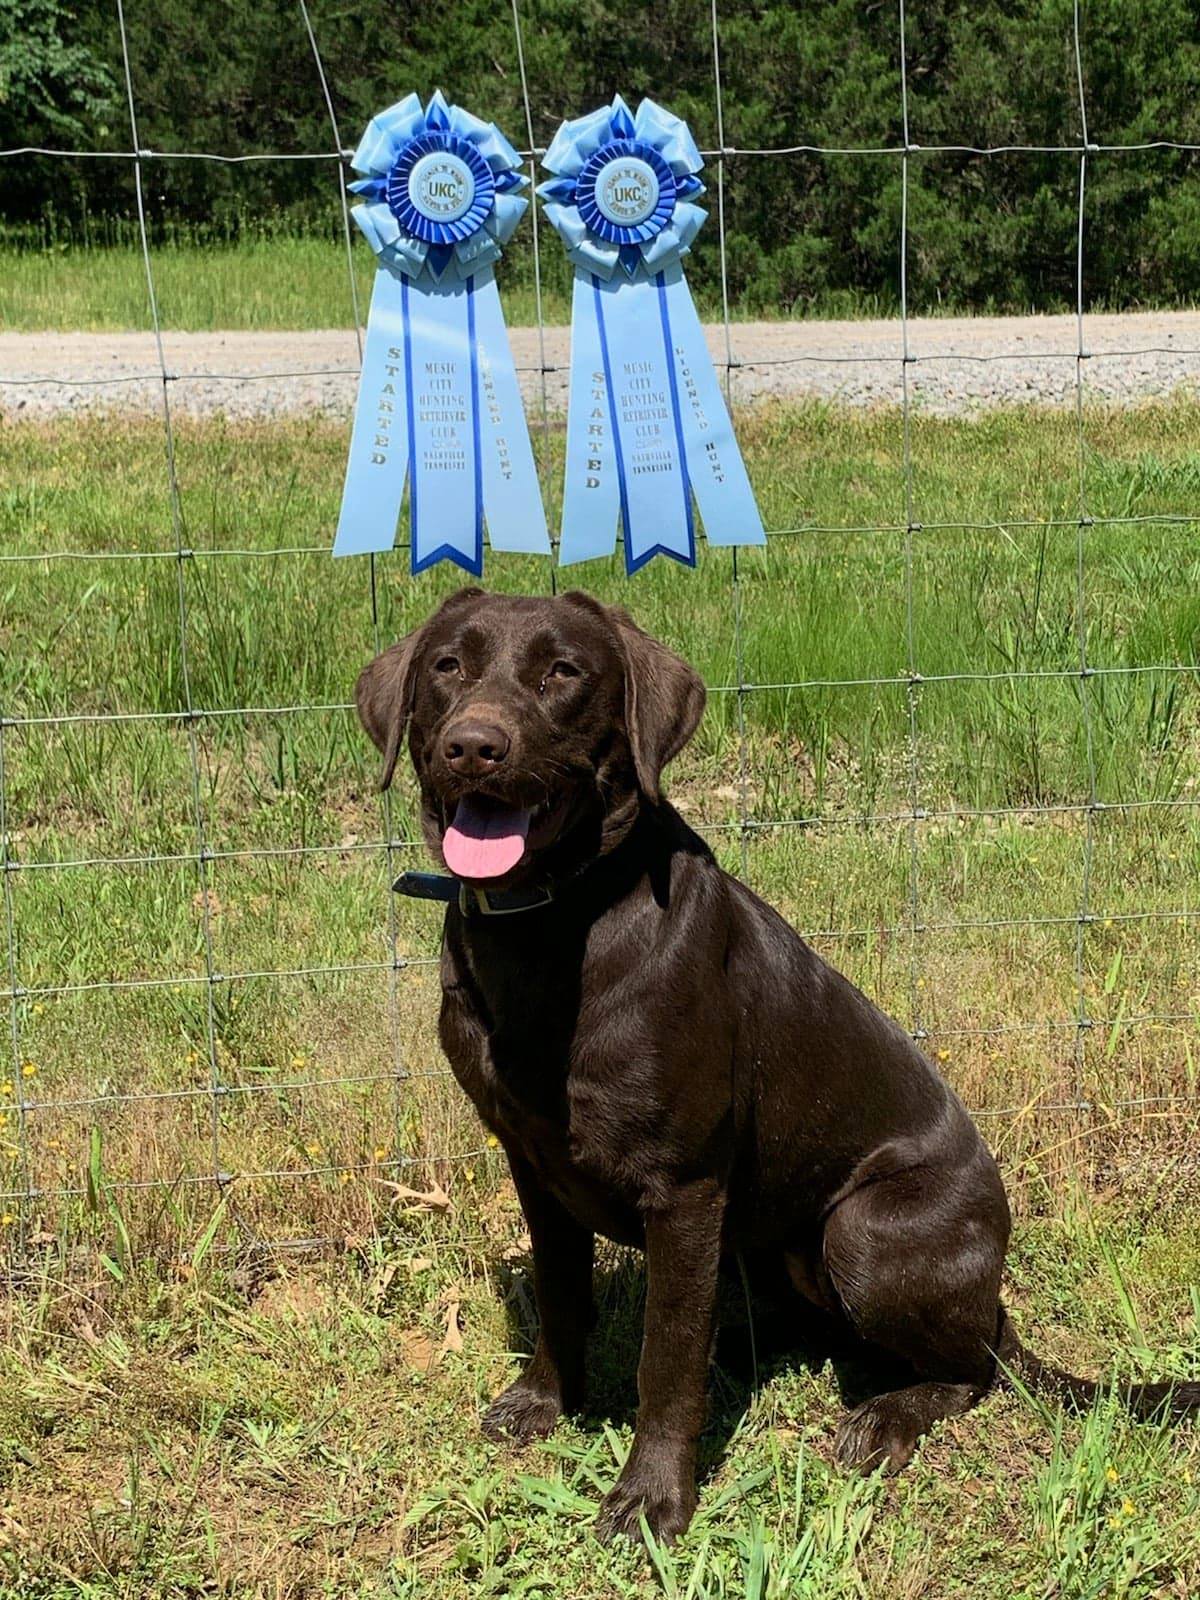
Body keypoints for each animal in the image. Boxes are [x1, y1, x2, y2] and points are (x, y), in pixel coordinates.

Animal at [360, 595, 1200, 1542]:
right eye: (447, 667)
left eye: (563, 672)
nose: (474, 745)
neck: (548, 928)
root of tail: (994, 1299)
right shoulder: (534, 1168)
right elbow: (563, 1296)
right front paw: (545, 1402)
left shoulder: (683, 1186)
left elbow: (664, 1363)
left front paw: (652, 1497)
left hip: (864, 1230)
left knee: (968, 1370)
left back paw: (883, 1417)